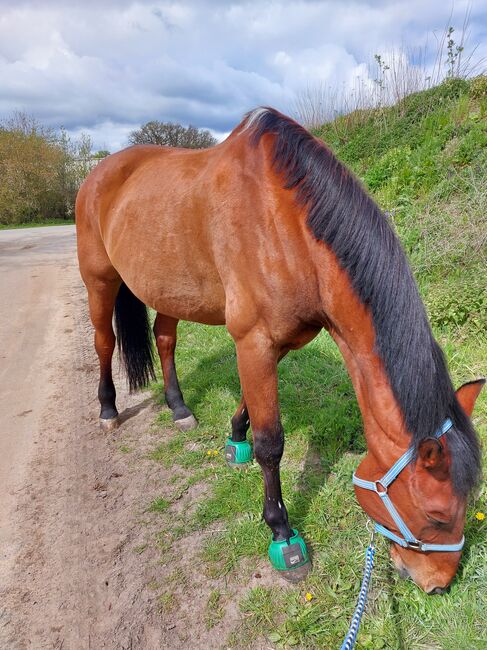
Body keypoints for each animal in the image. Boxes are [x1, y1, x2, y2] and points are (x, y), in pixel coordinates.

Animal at [76, 106, 484, 592]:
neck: (285, 222)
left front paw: (235, 439)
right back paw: (108, 409)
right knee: (104, 342)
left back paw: (178, 408)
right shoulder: (254, 339)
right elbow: (271, 443)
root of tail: (98, 171)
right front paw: (282, 533)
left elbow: (251, 406)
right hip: (99, 279)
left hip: (171, 289)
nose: (436, 583)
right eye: (437, 515)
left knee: (165, 338)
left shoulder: (282, 339)